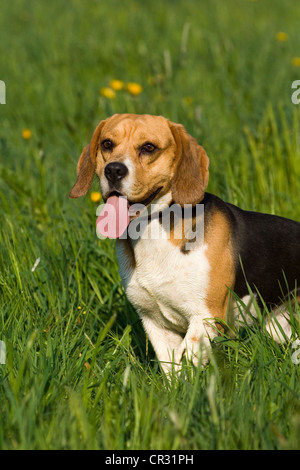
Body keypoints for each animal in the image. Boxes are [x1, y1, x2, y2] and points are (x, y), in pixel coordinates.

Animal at [69, 114, 300, 374]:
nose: (114, 170)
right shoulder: (154, 322)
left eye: (149, 147)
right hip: (279, 328)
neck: (153, 228)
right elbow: (172, 369)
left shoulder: (206, 317)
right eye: (107, 144)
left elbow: (187, 361)